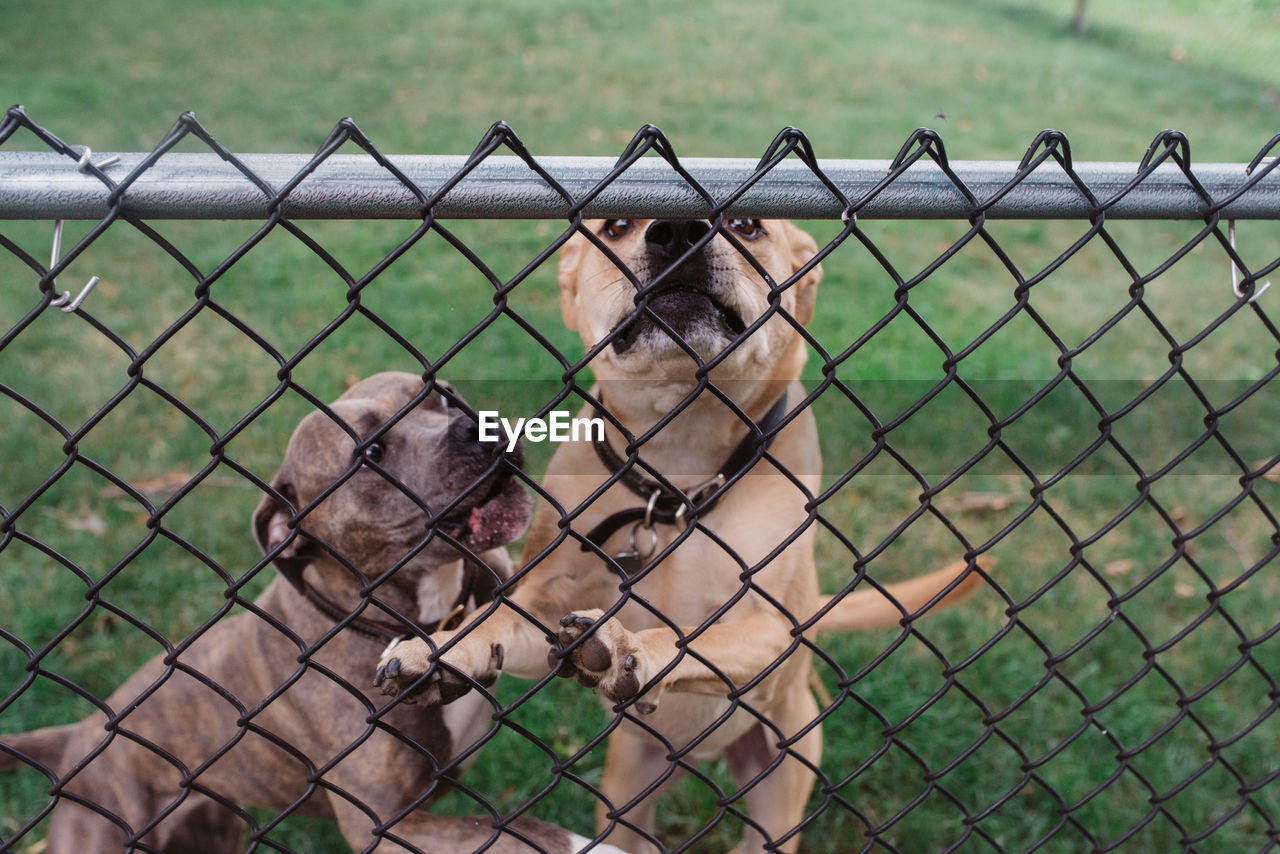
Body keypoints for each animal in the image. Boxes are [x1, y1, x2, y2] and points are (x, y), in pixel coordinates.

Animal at [0, 373, 619, 854]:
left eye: (441, 396)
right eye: (370, 454)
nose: (477, 425)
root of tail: (82, 732)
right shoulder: (385, 825)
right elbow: (514, 828)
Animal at [376, 222, 977, 854]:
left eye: (749, 226)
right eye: (616, 227)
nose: (678, 230)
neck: (676, 467)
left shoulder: (771, 628)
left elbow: (689, 637)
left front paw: (630, 647)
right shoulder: (542, 600)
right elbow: (491, 621)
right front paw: (439, 651)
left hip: (782, 778)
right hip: (626, 791)